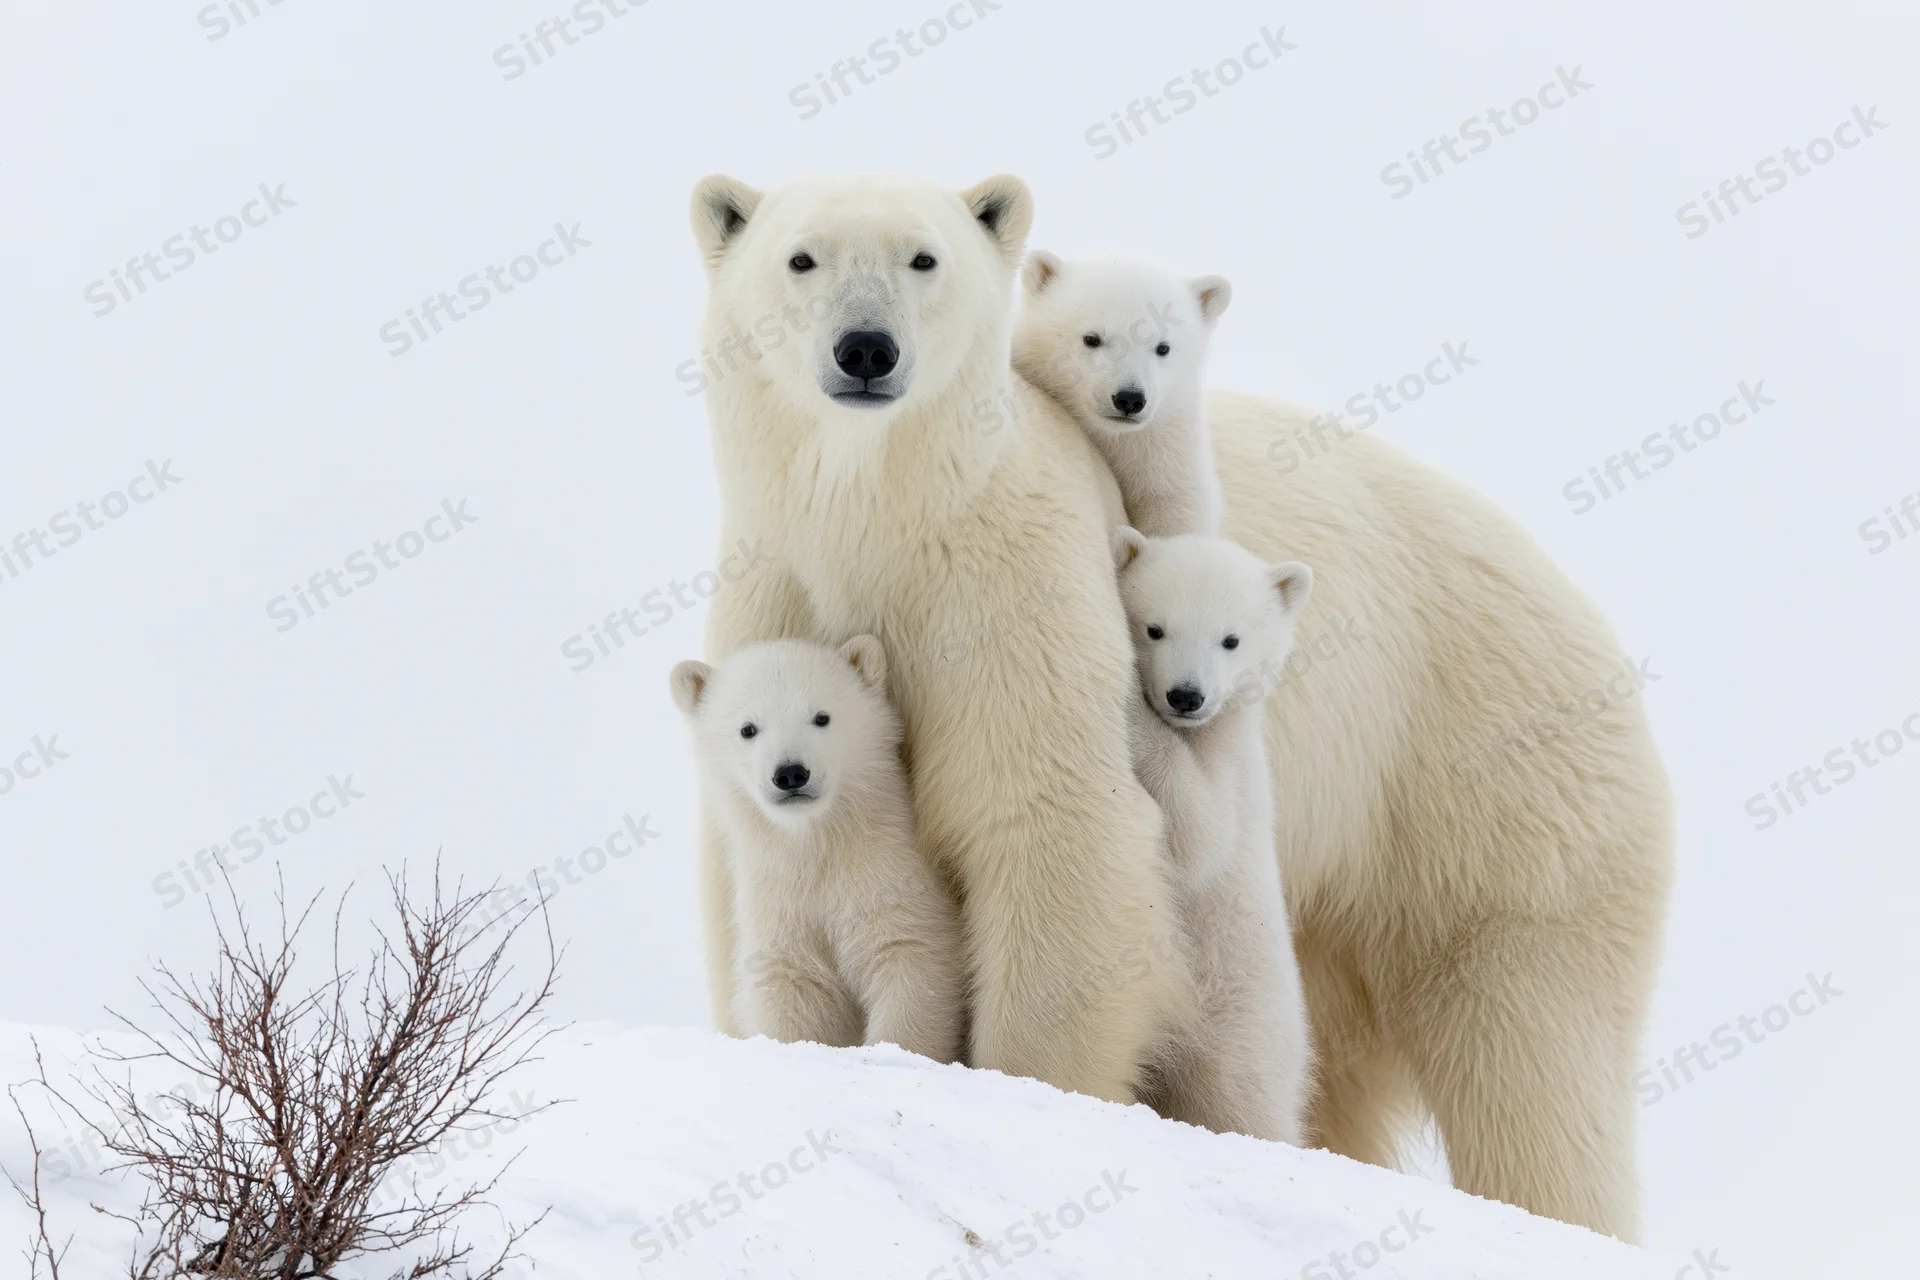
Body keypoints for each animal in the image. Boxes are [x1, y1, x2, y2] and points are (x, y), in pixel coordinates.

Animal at [670, 635, 964, 1063]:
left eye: (821, 717)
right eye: (747, 728)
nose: (791, 773)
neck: (817, 842)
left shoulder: (893, 874)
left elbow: (909, 958)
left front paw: (892, 1053)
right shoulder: (777, 902)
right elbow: (793, 984)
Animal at [1012, 252, 1230, 538]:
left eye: (1163, 347)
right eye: (1092, 339)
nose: (1129, 399)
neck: (1113, 436)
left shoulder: (1165, 439)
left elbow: (1175, 501)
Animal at [1114, 526, 1316, 1146]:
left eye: (1231, 639)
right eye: (1155, 627)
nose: (1186, 695)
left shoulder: (1239, 779)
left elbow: (1201, 835)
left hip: (1237, 1027)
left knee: (1238, 1102)